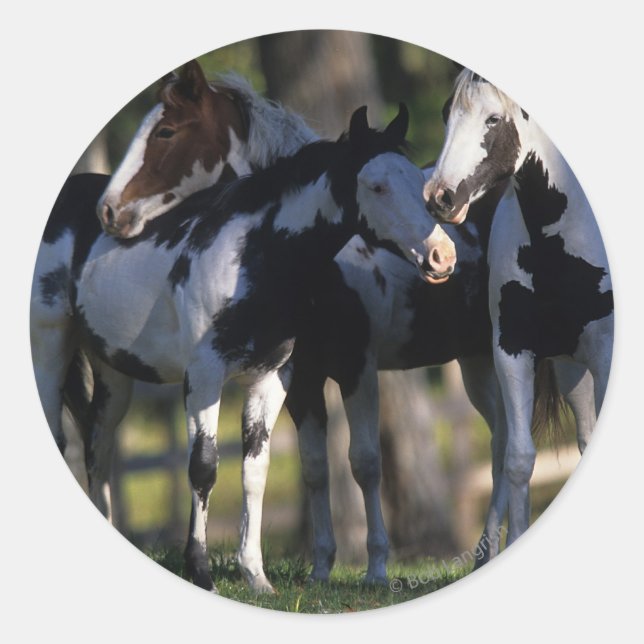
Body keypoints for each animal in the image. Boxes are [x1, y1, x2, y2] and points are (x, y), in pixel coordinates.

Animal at [31, 103, 456, 593]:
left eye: (417, 182)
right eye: (378, 186)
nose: (443, 256)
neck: (253, 257)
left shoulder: (271, 378)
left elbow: (255, 470)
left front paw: (255, 575)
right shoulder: (205, 375)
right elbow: (204, 467)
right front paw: (200, 570)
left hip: (113, 372)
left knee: (98, 449)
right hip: (48, 346)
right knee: (60, 435)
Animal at [424, 69, 613, 546]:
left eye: (493, 118)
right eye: (446, 112)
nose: (439, 197)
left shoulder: (604, 352)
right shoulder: (512, 350)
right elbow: (518, 459)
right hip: (567, 368)